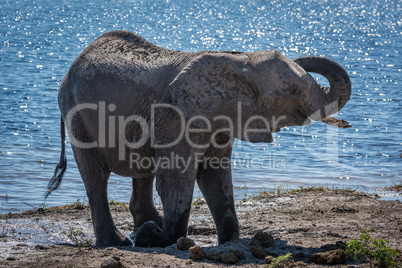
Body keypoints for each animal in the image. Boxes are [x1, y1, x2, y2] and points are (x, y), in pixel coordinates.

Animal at [45, 29, 350, 247]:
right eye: (293, 90)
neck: (238, 62)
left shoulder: (219, 117)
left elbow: (214, 175)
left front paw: (229, 241)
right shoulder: (175, 115)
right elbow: (177, 176)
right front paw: (169, 241)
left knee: (143, 169)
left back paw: (148, 229)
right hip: (76, 115)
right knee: (95, 176)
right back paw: (120, 241)